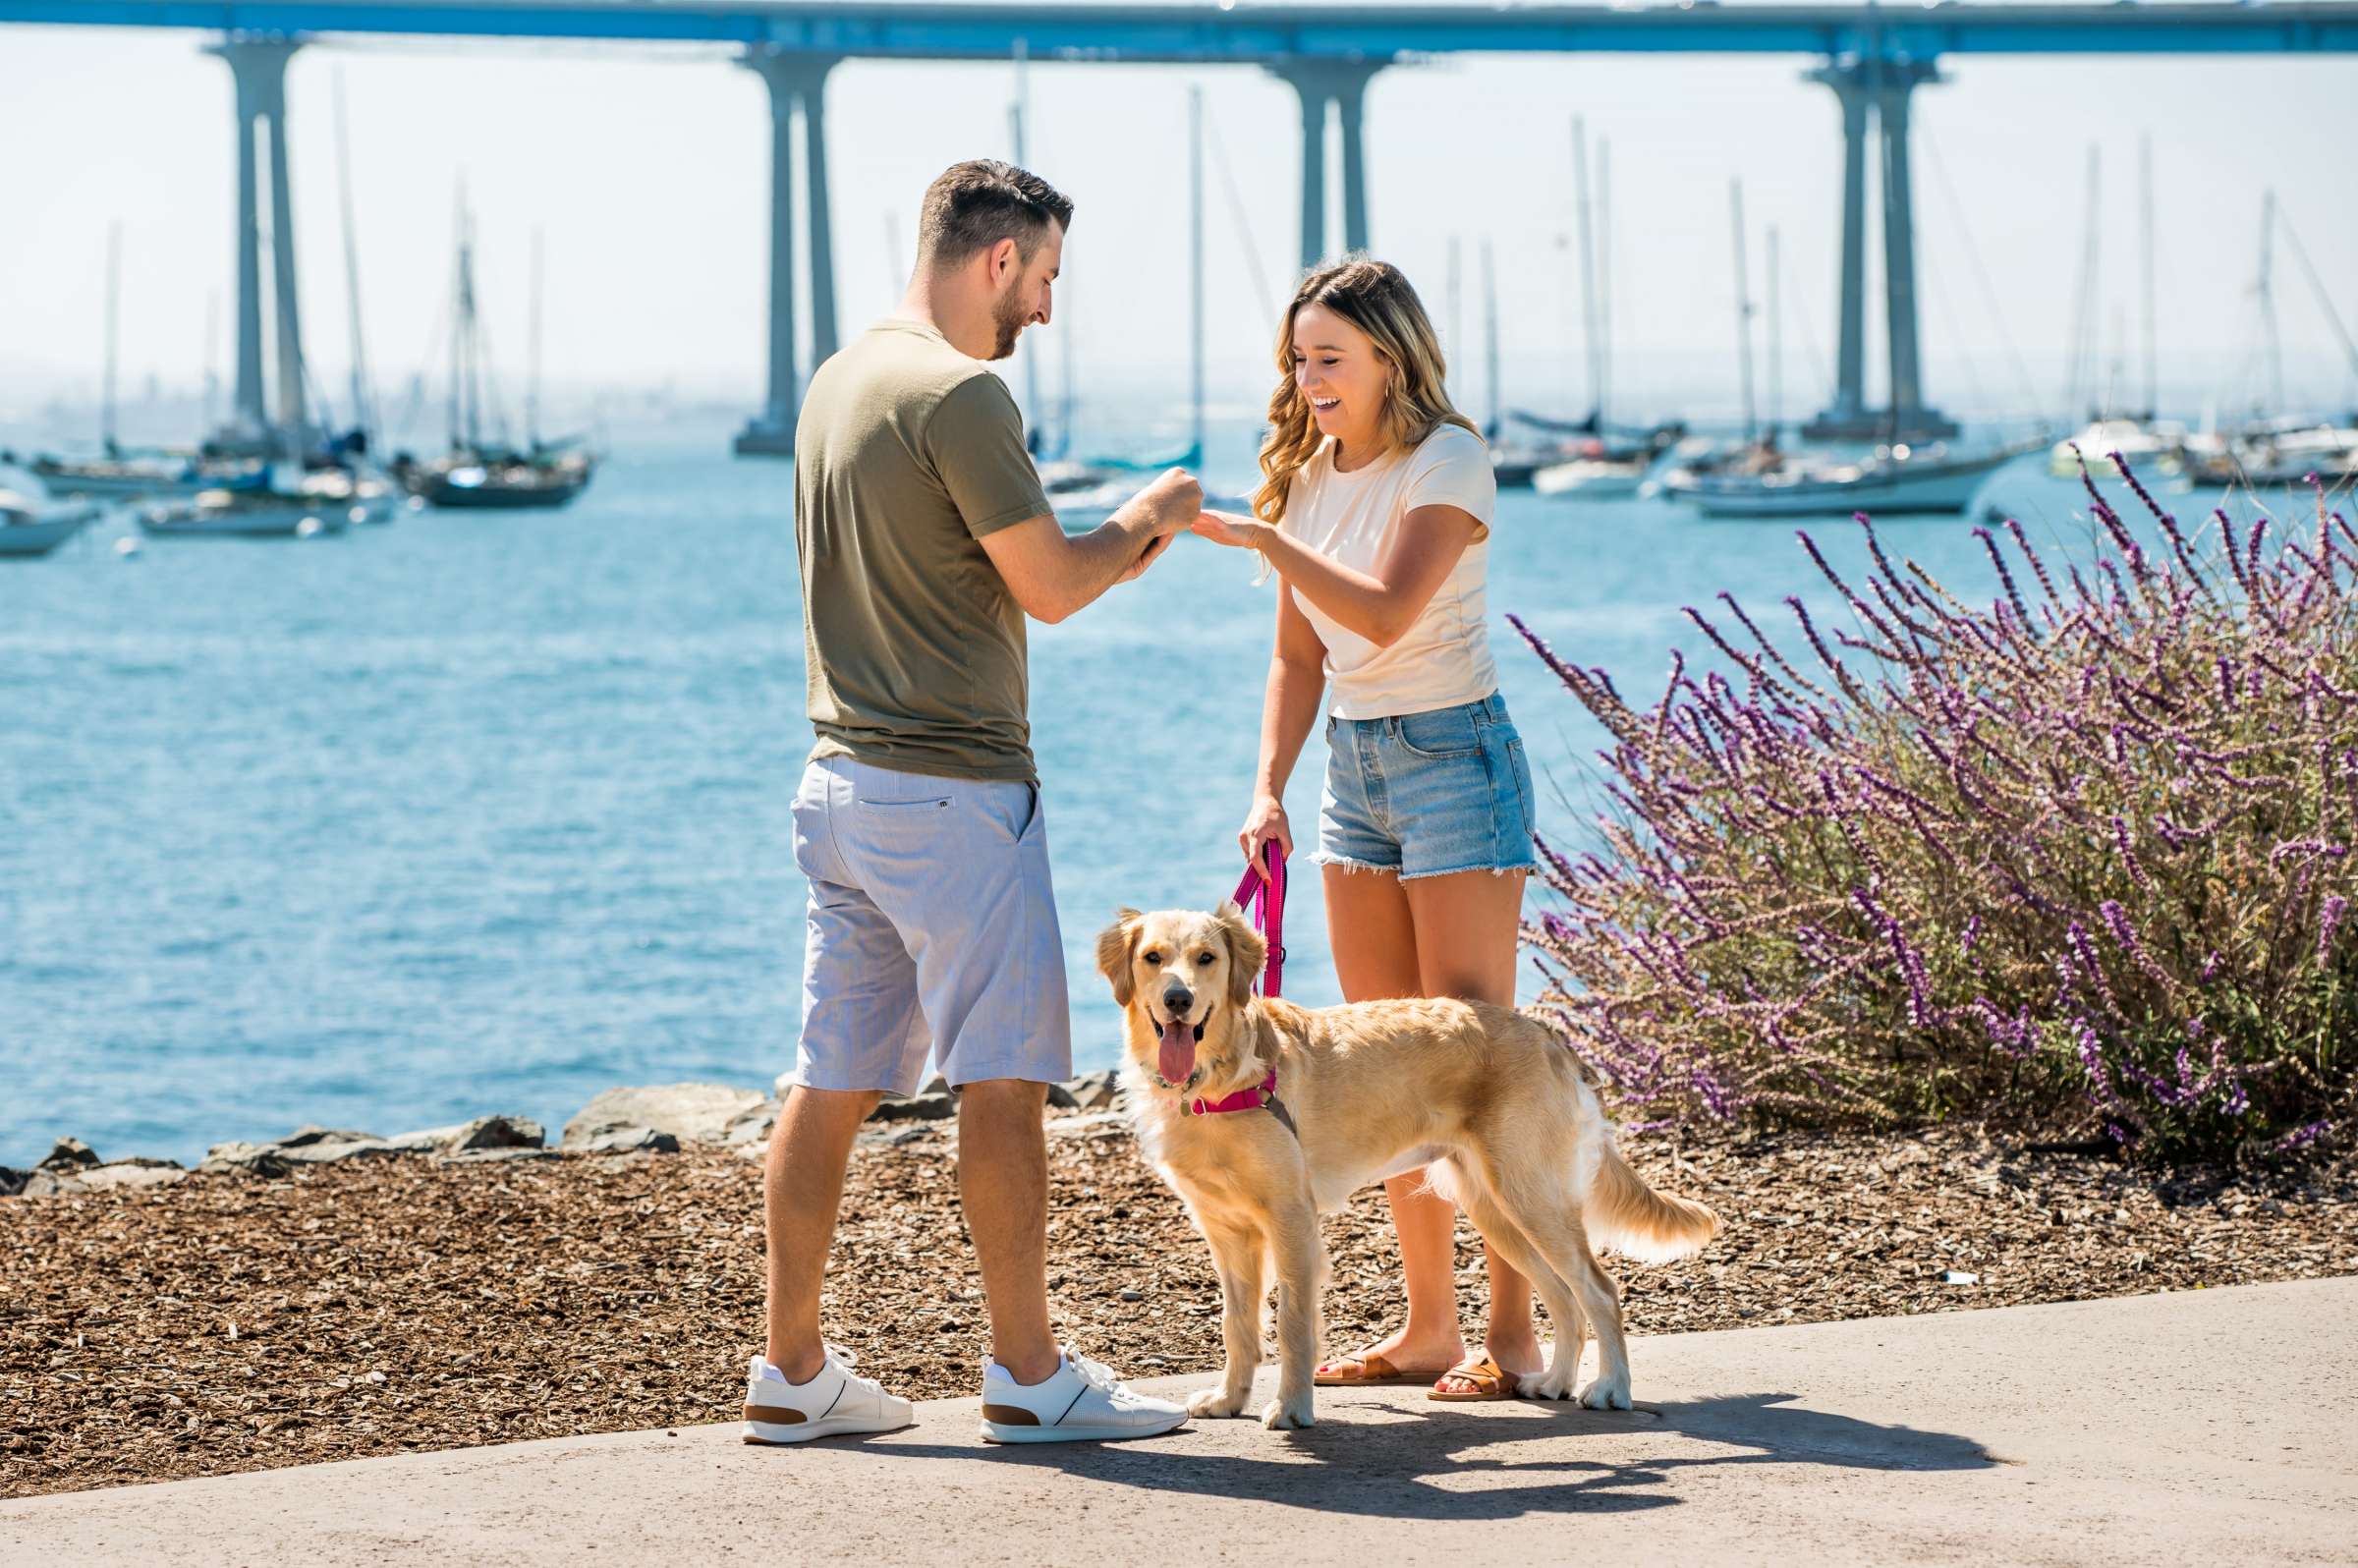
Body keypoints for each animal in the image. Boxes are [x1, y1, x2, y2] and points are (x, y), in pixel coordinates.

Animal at [1094, 900, 1725, 1424]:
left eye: (1207, 958)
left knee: (1599, 1290)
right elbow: (1237, 1325)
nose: (1178, 1000)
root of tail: (1546, 1032)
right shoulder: (1227, 1232)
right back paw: (1555, 1381)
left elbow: (1293, 1323)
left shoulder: (1291, 1220)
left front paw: (1293, 1408)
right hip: (1500, 1211)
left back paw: (1611, 1389)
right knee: (1565, 1297)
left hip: (1531, 1198)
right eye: (1153, 958)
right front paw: (1229, 1399)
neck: (1219, 1081)